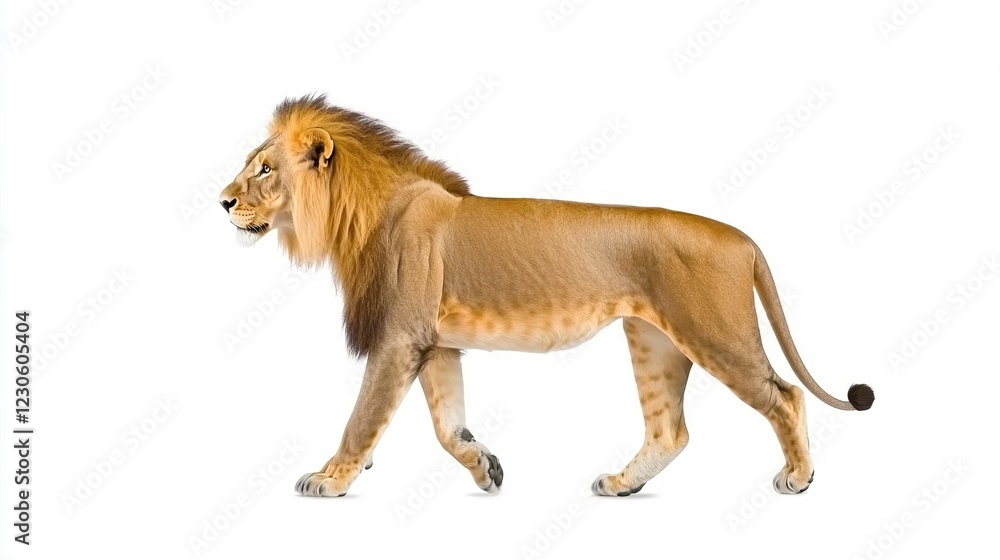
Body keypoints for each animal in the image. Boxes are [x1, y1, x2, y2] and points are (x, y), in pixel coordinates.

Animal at [219, 94, 874, 498]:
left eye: (264, 169)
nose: (222, 201)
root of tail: (743, 238)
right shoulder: (436, 344)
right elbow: (447, 425)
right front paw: (486, 467)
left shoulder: (399, 337)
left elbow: (363, 418)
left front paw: (329, 479)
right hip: (653, 340)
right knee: (671, 429)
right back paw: (623, 484)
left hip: (716, 334)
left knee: (785, 396)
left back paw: (798, 477)